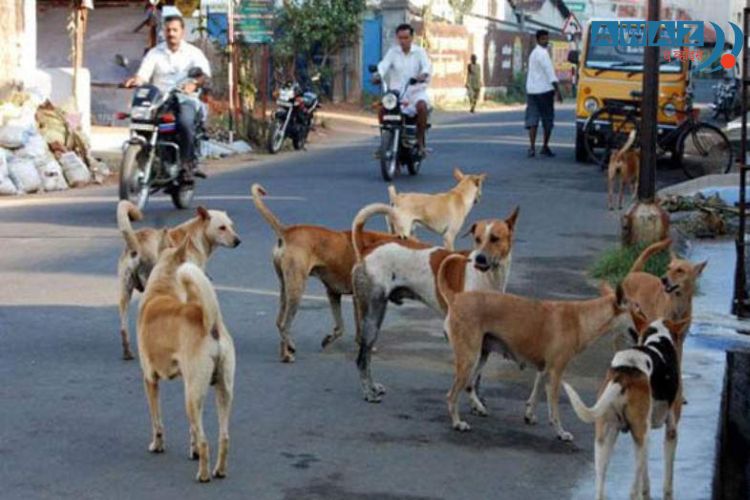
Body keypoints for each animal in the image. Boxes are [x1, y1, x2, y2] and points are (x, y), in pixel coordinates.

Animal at [117, 201, 244, 362]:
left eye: (231, 225)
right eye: (222, 227)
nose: (238, 241)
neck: (195, 235)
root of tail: (137, 242)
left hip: (125, 293)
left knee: (124, 328)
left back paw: (128, 352)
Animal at [137, 238, 236, 484]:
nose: (208, 275)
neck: (162, 289)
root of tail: (211, 323)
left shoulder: (149, 379)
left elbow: (157, 420)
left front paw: (157, 445)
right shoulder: (186, 381)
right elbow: (192, 429)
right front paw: (193, 451)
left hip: (191, 397)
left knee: (205, 440)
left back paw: (203, 475)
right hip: (220, 391)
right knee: (224, 437)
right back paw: (219, 470)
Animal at [352, 203, 516, 402]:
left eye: (495, 239)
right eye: (477, 239)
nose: (479, 259)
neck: (488, 278)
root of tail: (367, 248)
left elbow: (478, 374)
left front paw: (477, 399)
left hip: (376, 316)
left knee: (367, 355)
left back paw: (372, 387)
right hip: (372, 315)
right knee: (362, 358)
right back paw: (368, 392)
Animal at [438, 254, 632, 442]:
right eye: (636, 312)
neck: (581, 319)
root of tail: (455, 298)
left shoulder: (544, 371)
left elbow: (536, 395)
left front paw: (529, 415)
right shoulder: (555, 373)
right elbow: (554, 409)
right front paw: (561, 433)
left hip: (481, 356)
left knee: (469, 385)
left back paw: (478, 408)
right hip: (469, 358)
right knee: (451, 394)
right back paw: (457, 423)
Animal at [564, 316, 692, 500]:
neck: (658, 339)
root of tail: (623, 374)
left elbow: (646, 478)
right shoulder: (671, 432)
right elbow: (668, 481)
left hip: (606, 438)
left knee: (600, 488)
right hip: (641, 436)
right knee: (632, 491)